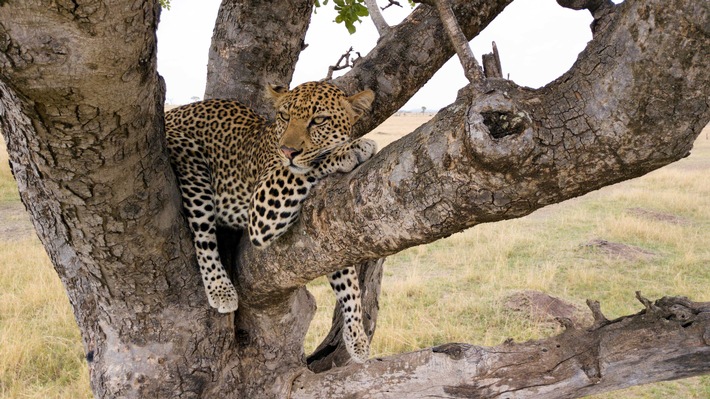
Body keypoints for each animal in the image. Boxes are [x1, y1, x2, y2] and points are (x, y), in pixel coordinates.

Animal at [165, 80, 378, 362]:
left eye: (319, 120)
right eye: (285, 116)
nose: (288, 151)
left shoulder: (326, 235)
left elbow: (348, 282)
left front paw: (357, 337)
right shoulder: (262, 206)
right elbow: (305, 166)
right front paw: (350, 149)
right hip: (189, 158)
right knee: (202, 234)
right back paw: (220, 288)